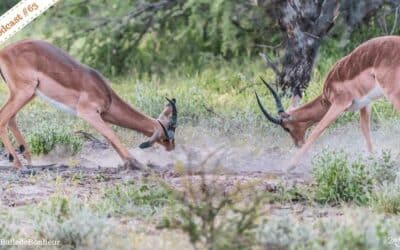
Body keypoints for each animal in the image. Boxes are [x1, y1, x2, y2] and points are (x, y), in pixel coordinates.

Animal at [0, 39, 178, 172]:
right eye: (166, 135)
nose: (172, 148)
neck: (107, 96)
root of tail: (4, 51)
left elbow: (109, 138)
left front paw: (127, 163)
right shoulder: (88, 113)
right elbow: (112, 135)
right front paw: (136, 163)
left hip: (28, 94)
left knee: (11, 119)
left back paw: (28, 159)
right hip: (24, 92)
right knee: (3, 118)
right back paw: (18, 164)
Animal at [256, 35, 400, 169]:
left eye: (286, 128)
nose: (298, 144)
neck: (326, 97)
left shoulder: (339, 104)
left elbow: (317, 130)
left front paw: (289, 166)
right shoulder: (365, 104)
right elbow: (365, 130)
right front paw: (373, 162)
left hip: (392, 93)